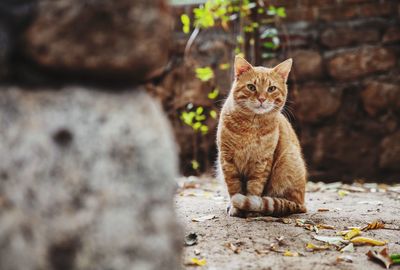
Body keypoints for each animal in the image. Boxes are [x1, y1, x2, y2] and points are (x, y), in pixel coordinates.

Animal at [216, 55, 306, 217]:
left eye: (271, 89)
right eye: (251, 87)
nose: (262, 99)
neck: (252, 125)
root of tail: (302, 204)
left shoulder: (262, 162)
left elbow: (254, 189)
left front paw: (251, 209)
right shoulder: (227, 159)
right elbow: (234, 187)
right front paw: (235, 208)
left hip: (288, 160)